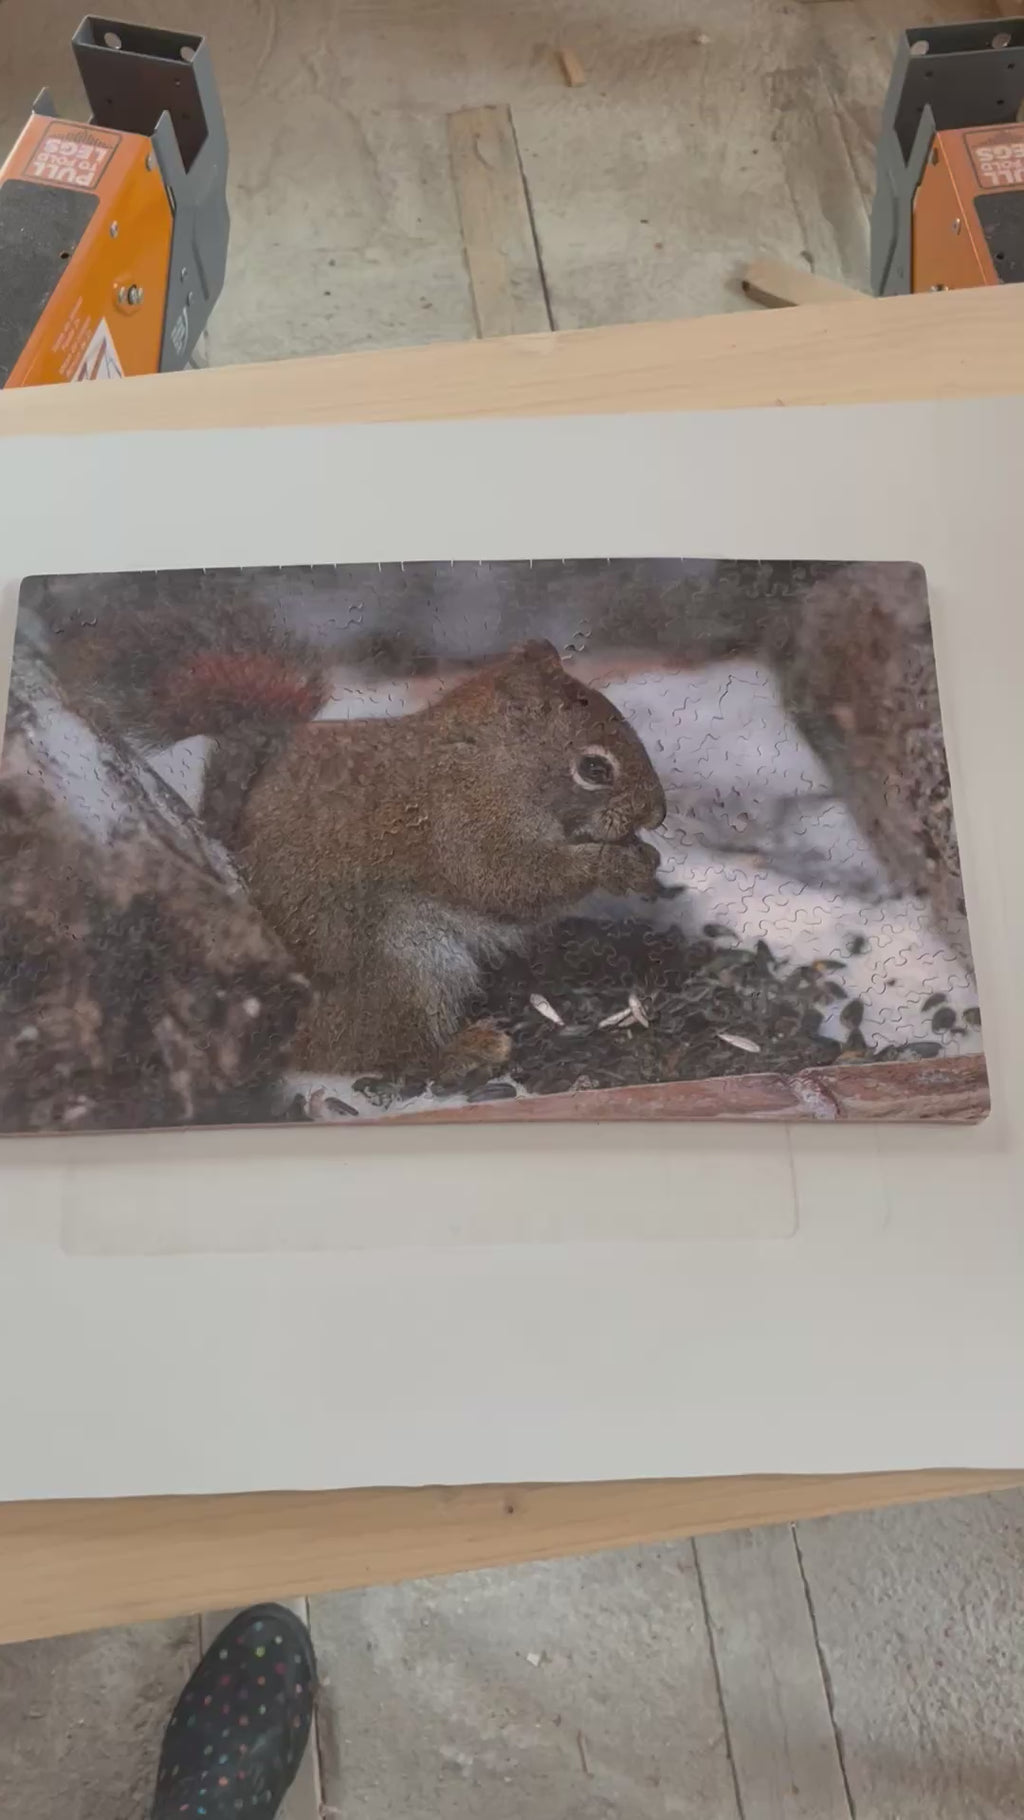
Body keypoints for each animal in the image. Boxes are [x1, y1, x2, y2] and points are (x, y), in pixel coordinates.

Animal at [47, 602, 667, 1083]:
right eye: (593, 769)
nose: (658, 814)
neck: (489, 765)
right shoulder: (460, 824)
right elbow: (508, 883)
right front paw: (616, 865)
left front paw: (647, 858)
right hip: (404, 969)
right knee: (370, 1052)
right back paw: (462, 1052)